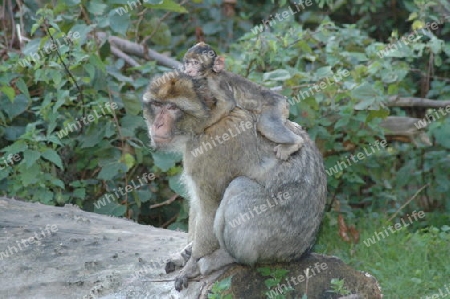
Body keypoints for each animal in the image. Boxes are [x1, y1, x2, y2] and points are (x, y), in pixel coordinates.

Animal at [144, 71, 326, 292]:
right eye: (157, 105)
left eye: (172, 108)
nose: (158, 124)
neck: (205, 125)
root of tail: (304, 248)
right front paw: (186, 254)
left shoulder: (207, 152)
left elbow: (210, 207)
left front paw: (192, 264)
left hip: (278, 241)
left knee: (239, 187)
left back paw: (222, 259)